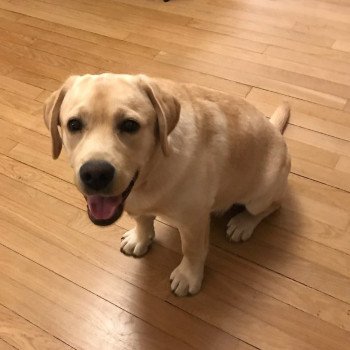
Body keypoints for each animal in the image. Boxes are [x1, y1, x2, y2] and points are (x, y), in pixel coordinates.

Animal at [43, 73, 290, 296]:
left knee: (272, 207)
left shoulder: (193, 221)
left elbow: (192, 249)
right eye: (74, 124)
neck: (149, 176)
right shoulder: (138, 206)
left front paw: (188, 276)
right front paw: (140, 239)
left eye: (130, 125)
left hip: (261, 193)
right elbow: (143, 222)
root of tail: (276, 131)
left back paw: (243, 223)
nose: (95, 174)